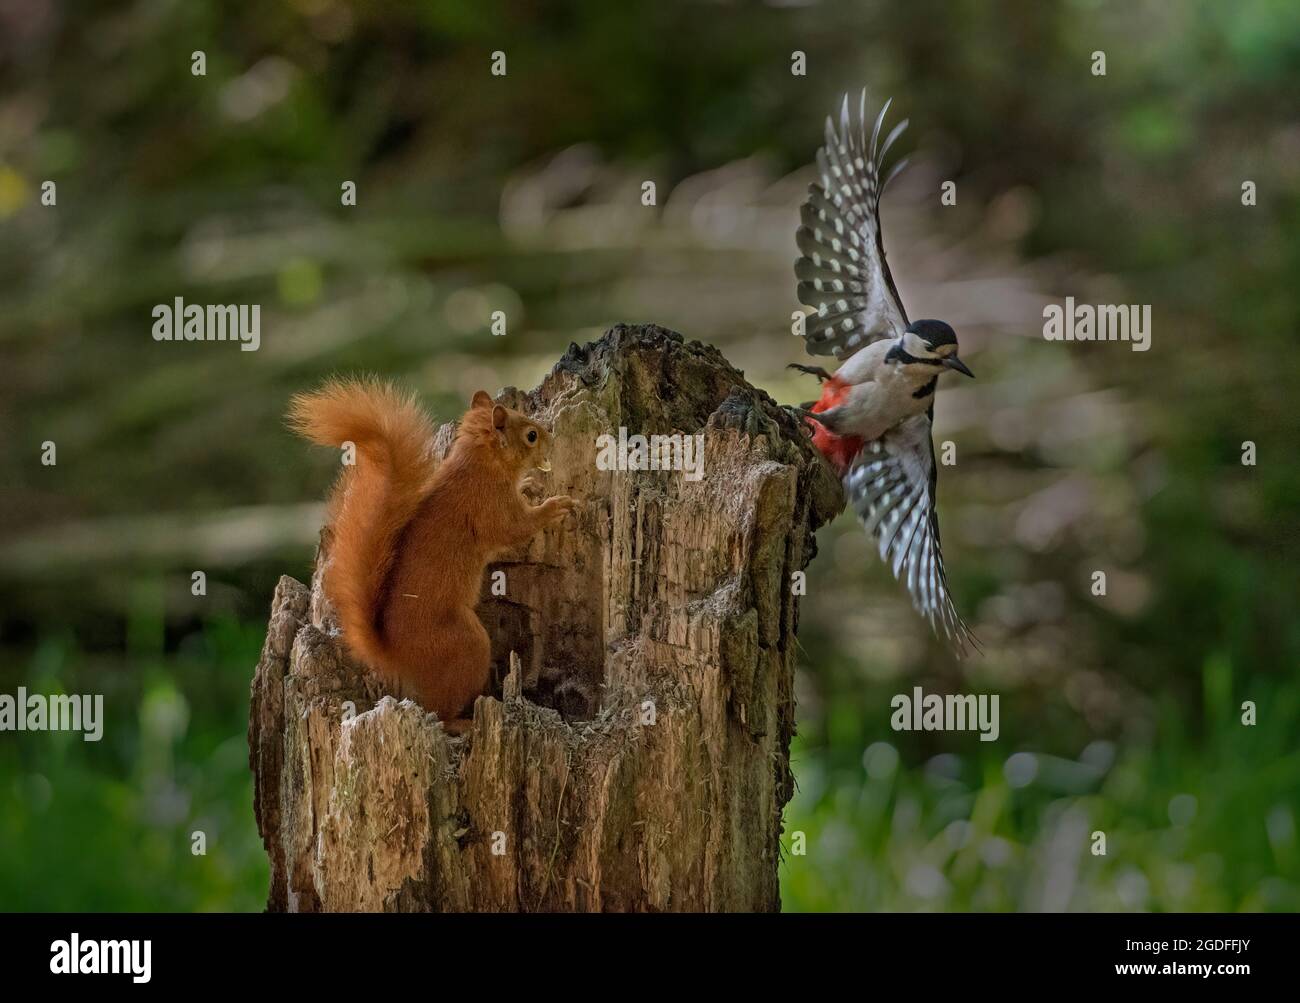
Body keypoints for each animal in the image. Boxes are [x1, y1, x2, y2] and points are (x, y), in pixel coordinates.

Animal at [289, 379, 574, 732]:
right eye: (531, 435)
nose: (551, 437)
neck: (479, 462)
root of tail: (394, 653)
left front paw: (530, 485)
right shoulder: (490, 507)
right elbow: (516, 529)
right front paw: (554, 506)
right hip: (464, 644)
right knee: (440, 709)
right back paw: (461, 722)